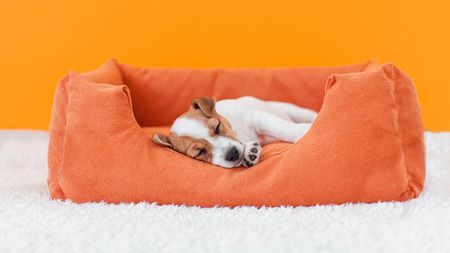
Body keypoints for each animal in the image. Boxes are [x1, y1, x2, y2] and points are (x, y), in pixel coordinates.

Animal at [153, 96, 318, 168]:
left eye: (218, 127)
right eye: (199, 152)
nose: (232, 154)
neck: (238, 133)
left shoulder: (257, 118)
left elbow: (282, 128)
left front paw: (303, 131)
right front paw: (250, 153)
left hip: (294, 110)